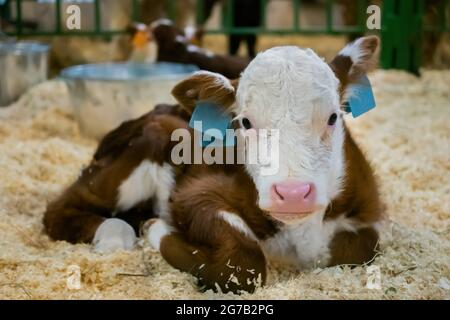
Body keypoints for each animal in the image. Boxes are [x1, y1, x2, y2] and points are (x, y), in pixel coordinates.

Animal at [44, 36, 384, 294]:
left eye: (333, 117)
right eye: (245, 122)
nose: (292, 193)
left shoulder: (367, 208)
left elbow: (360, 251)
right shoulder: (194, 194)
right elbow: (244, 262)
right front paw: (158, 228)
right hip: (144, 145)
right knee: (62, 209)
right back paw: (115, 232)